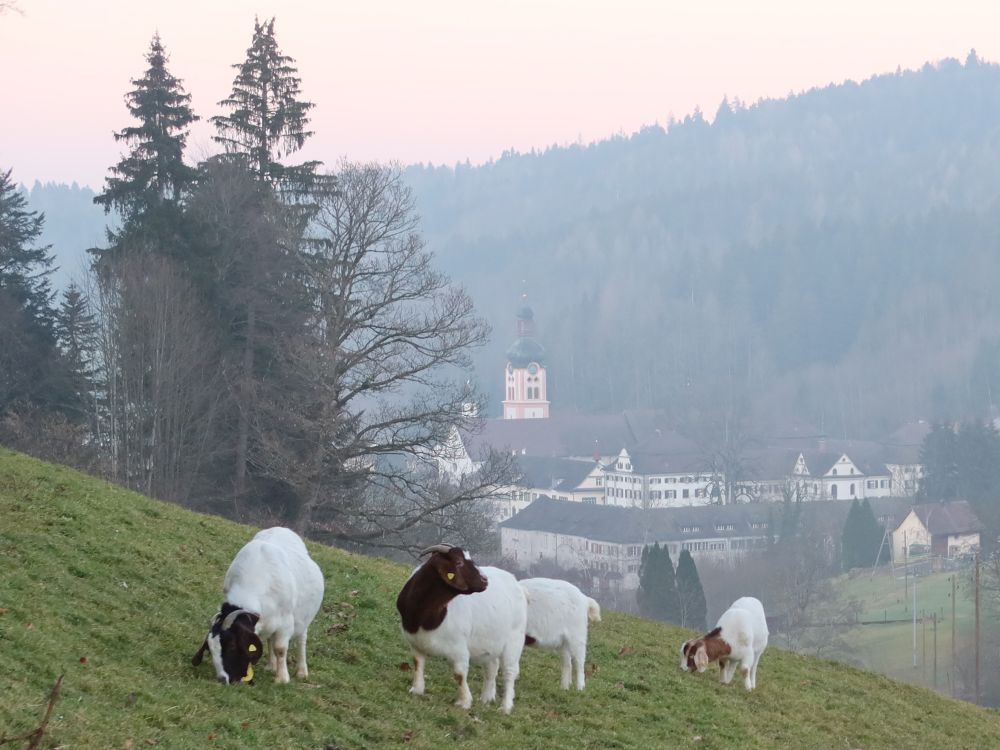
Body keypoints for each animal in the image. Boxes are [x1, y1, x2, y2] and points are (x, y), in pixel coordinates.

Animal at [192, 528, 324, 688]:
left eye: (232, 646)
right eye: (210, 649)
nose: (223, 679)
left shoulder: (286, 622)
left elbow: (280, 648)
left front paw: (282, 679)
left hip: (304, 618)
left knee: (301, 639)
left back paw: (301, 671)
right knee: (270, 639)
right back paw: (271, 666)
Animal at [394, 548, 528, 716]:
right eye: (459, 562)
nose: (485, 580)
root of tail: (514, 581)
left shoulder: (459, 648)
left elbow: (459, 674)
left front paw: (464, 702)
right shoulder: (415, 643)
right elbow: (418, 664)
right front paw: (417, 689)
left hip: (514, 641)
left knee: (510, 672)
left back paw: (505, 707)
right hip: (490, 643)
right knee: (491, 668)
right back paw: (486, 698)